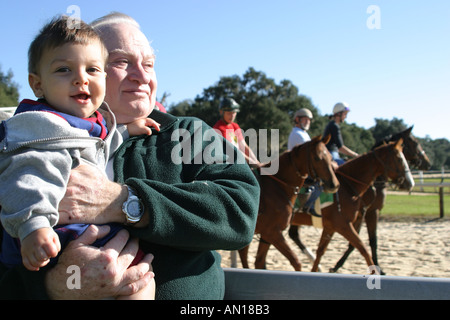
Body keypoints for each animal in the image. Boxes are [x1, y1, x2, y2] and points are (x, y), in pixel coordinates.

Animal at [237, 134, 340, 272]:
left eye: (330, 157)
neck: (278, 187)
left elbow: (259, 263)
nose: (334, 184)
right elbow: (296, 262)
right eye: (317, 158)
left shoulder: (266, 236)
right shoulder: (273, 233)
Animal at [288, 139, 414, 274]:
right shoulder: (345, 224)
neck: (347, 186)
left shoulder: (331, 227)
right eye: (399, 159)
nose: (410, 183)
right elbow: (362, 248)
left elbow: (321, 251)